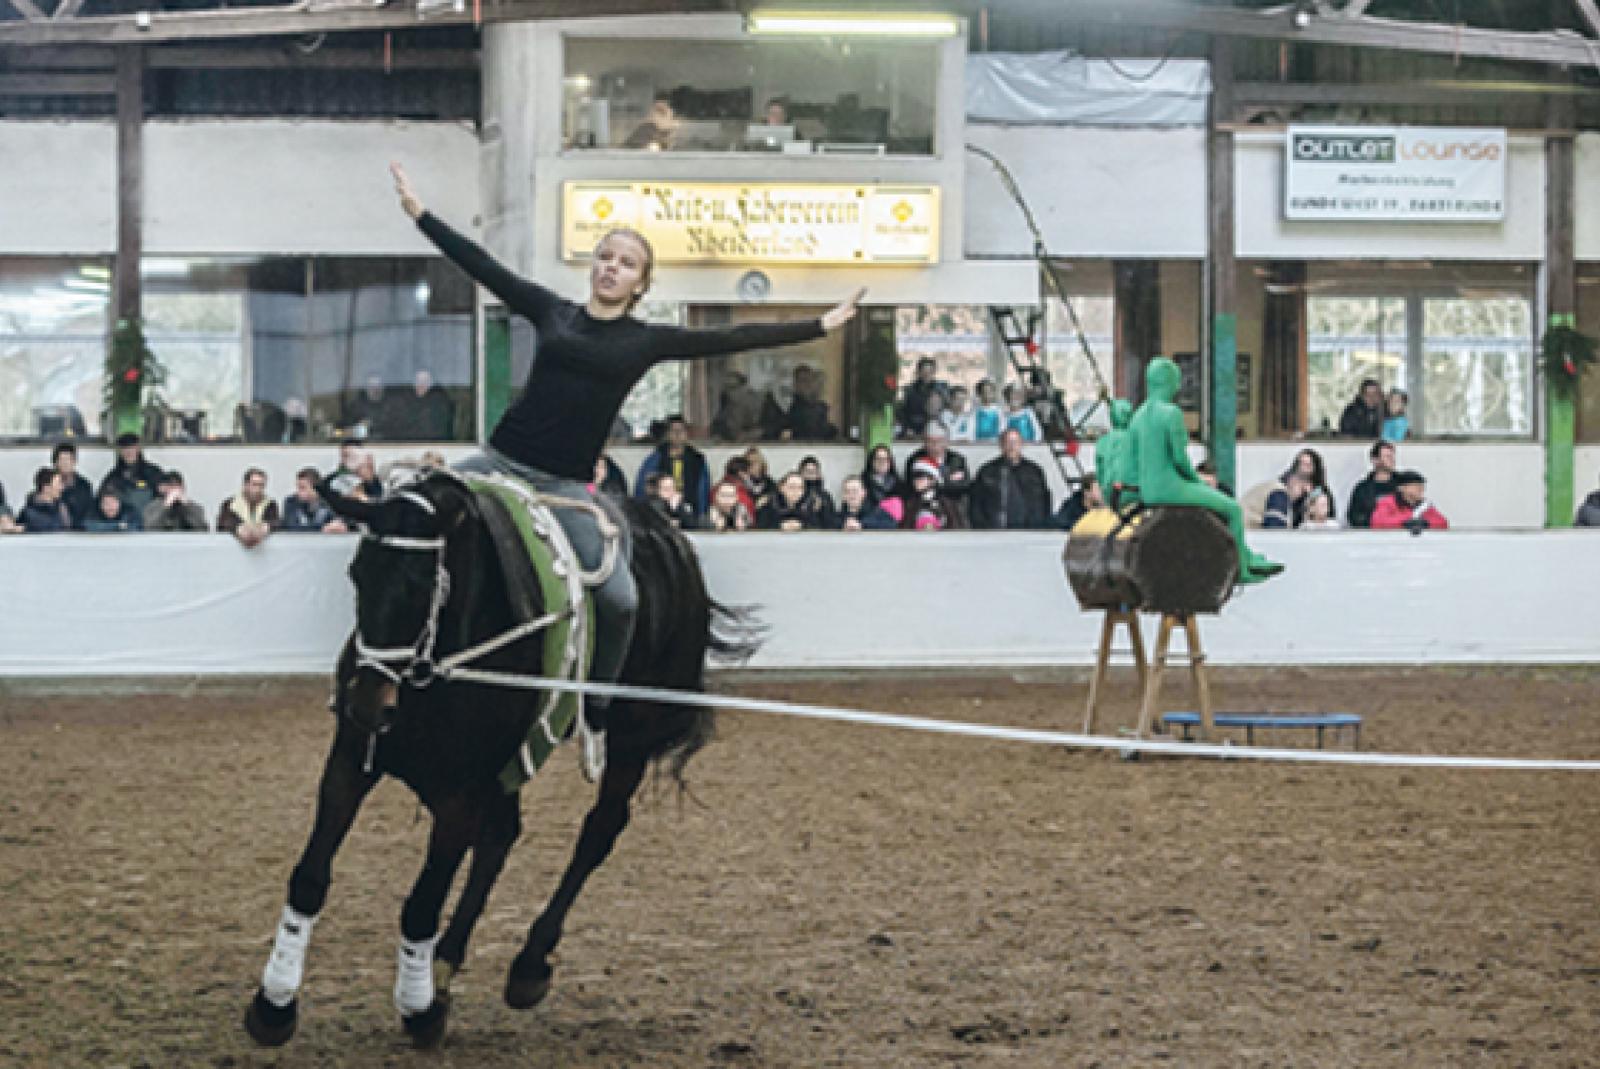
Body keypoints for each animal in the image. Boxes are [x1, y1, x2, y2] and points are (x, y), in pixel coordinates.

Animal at [244, 469, 751, 1049]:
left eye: (422, 585)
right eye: (357, 575)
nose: (368, 703)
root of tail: (671, 537)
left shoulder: (459, 795)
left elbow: (421, 903)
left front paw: (417, 1009)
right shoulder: (352, 762)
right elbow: (310, 876)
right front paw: (274, 1005)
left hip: (629, 743)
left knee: (598, 830)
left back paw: (527, 964)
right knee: (502, 837)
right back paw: (445, 968)